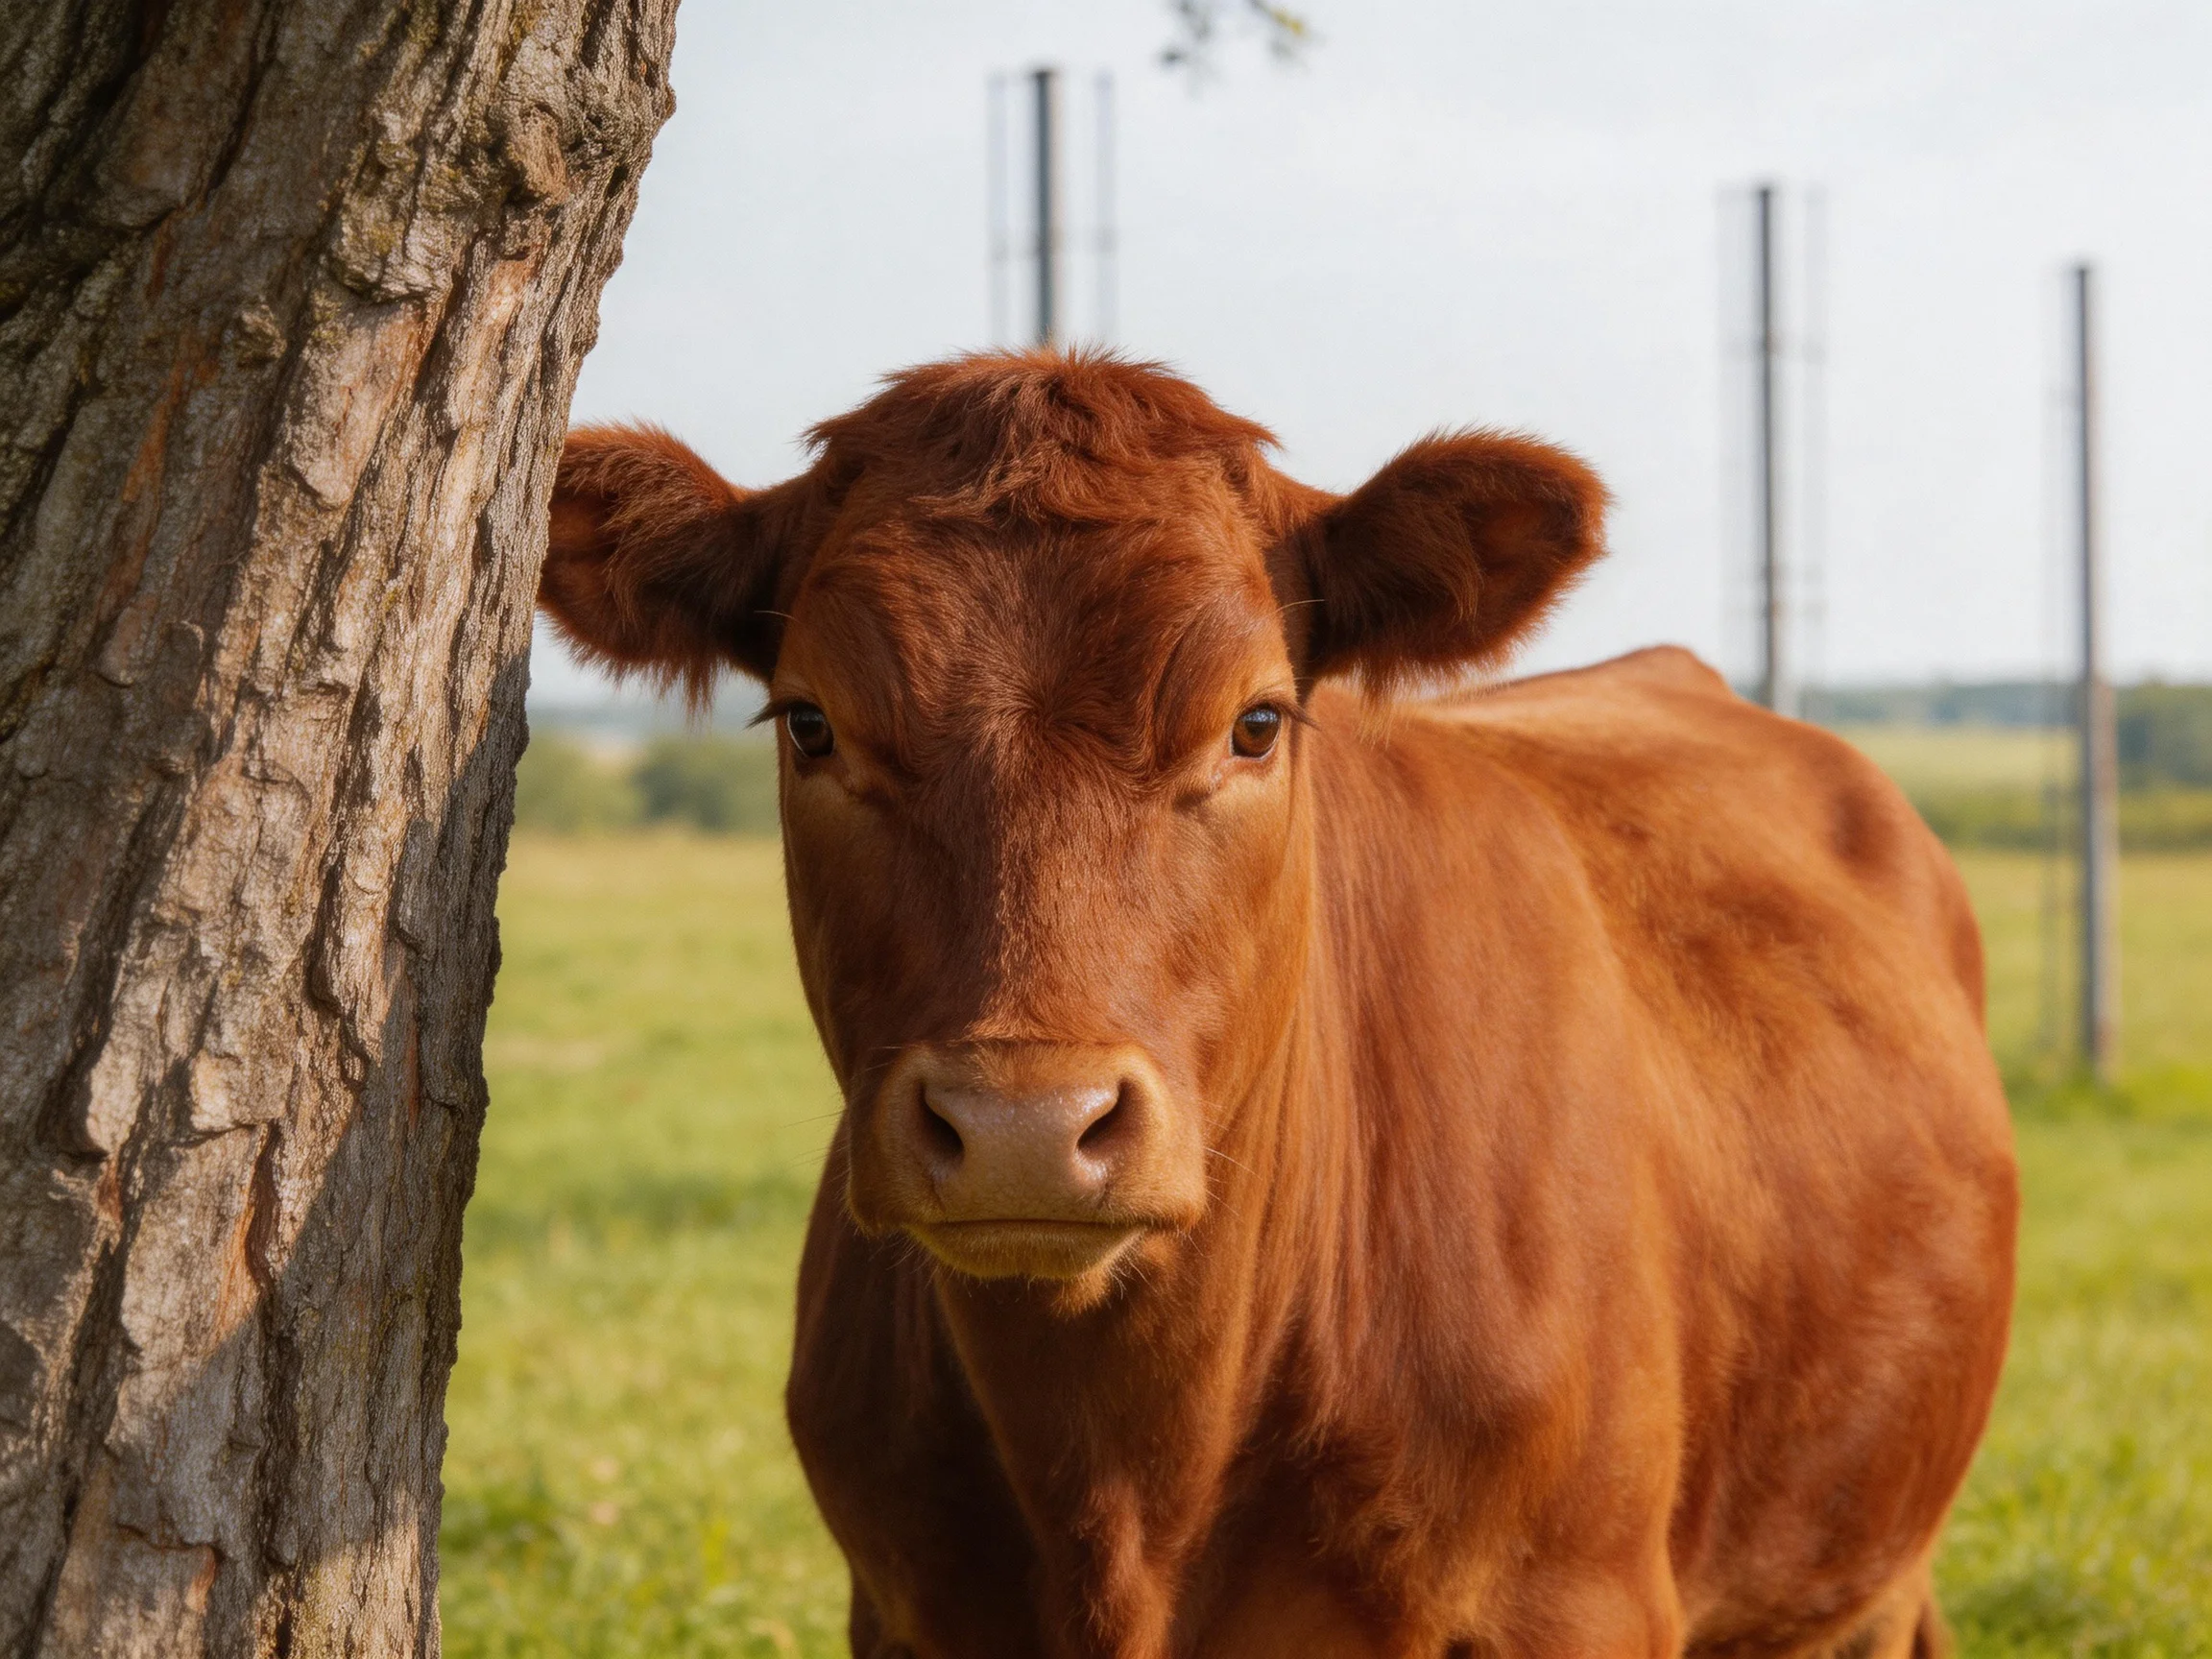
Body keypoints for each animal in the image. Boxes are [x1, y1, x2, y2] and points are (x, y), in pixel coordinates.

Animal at [538, 351, 2018, 1659]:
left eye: (1254, 723)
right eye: (811, 723)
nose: (1024, 1127)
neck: (1128, 1491)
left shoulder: (1578, 1603)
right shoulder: (902, 1612)